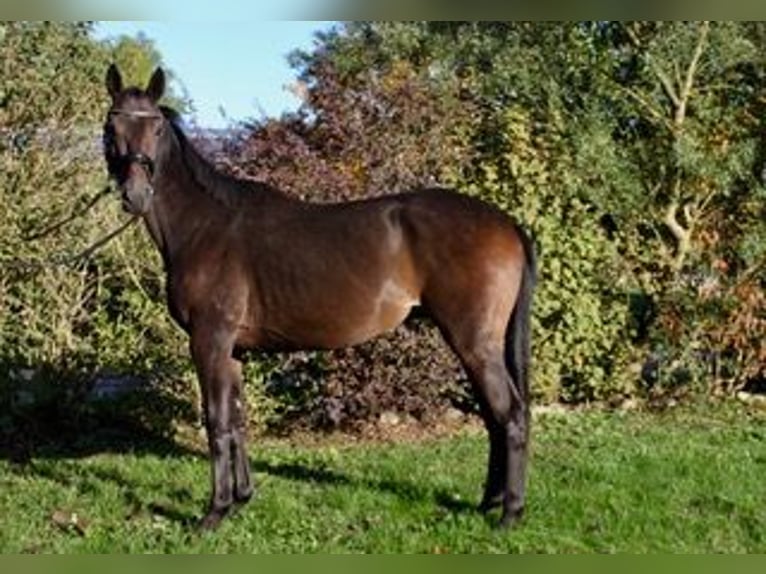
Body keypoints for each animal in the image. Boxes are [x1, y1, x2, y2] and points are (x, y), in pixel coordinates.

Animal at [100, 66, 536, 532]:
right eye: (112, 127)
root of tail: (507, 223)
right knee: (495, 416)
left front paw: (214, 513)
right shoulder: (231, 350)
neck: (205, 226)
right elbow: (237, 420)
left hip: (474, 342)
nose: (135, 195)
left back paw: (509, 513)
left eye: (157, 128)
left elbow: (216, 421)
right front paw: (241, 499)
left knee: (510, 414)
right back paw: (489, 502)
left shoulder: (209, 341)